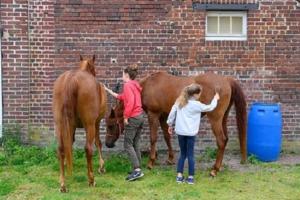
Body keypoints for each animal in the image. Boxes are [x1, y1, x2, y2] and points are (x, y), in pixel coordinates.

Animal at [52, 55, 106, 192]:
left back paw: (63, 184)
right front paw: (101, 167)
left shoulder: (71, 126)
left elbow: (69, 143)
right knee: (88, 148)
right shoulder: (97, 123)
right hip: (89, 125)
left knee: (60, 148)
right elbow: (98, 143)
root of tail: (72, 79)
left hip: (60, 124)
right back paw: (91, 180)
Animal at [105, 71, 246, 177]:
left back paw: (214, 169)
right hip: (223, 118)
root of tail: (226, 79)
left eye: (111, 125)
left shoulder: (153, 115)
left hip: (215, 119)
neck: (147, 86)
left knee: (221, 141)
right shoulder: (163, 116)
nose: (108, 144)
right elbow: (167, 136)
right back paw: (219, 167)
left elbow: (153, 138)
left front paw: (151, 162)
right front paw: (170, 158)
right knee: (225, 140)